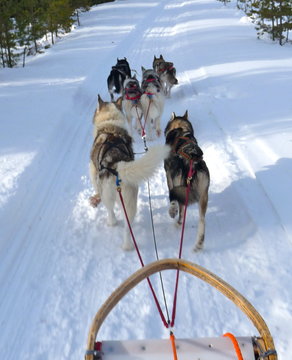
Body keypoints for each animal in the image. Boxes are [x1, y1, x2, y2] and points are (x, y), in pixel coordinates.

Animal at [90, 94, 170, 249]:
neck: (110, 125)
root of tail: (116, 165)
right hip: (130, 202)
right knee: (128, 227)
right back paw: (128, 246)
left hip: (108, 197)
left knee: (111, 213)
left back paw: (112, 223)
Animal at [164, 111, 210, 252]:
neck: (181, 130)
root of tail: (193, 163)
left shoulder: (169, 176)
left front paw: (172, 210)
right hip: (203, 197)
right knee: (202, 220)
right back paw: (199, 243)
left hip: (179, 187)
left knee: (180, 209)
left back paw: (177, 222)